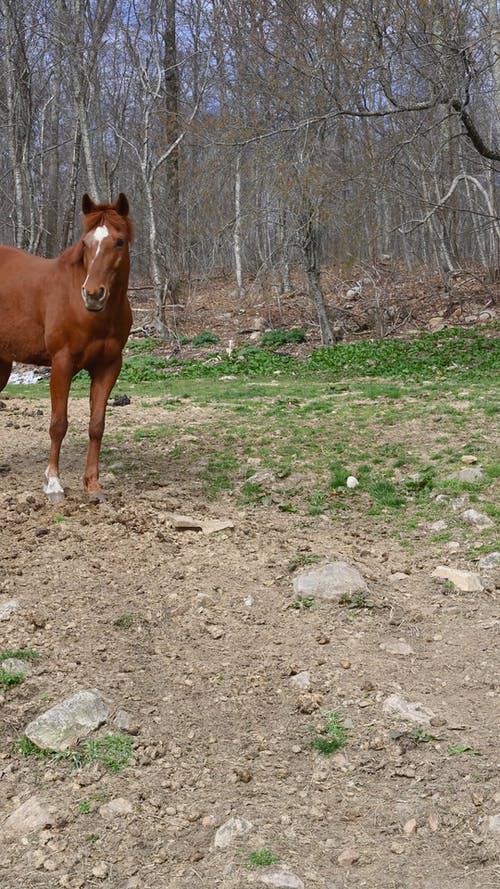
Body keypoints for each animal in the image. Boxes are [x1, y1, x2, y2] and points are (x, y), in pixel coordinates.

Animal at [0, 192, 134, 502]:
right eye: (85, 243)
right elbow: (58, 424)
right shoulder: (62, 363)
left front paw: (93, 485)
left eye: (119, 242)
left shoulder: (108, 366)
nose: (93, 294)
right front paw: (53, 483)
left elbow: (97, 425)